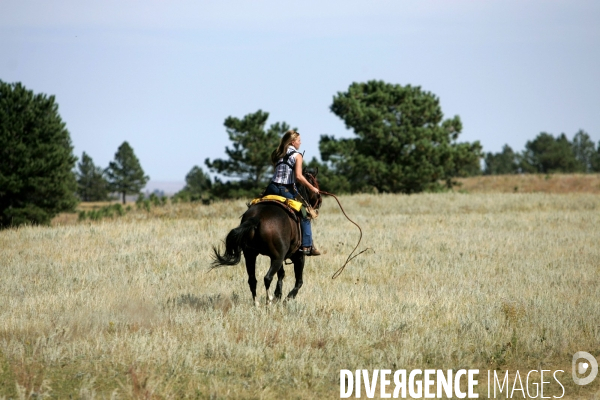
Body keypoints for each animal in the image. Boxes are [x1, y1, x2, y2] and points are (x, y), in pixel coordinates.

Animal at [212, 170, 322, 306]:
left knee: (252, 280)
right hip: (277, 257)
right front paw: (287, 297)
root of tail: (257, 218)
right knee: (267, 277)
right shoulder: (298, 256)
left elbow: (281, 274)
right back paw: (268, 300)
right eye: (314, 183)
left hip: (251, 255)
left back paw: (257, 303)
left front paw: (278, 295)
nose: (320, 199)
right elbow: (298, 281)